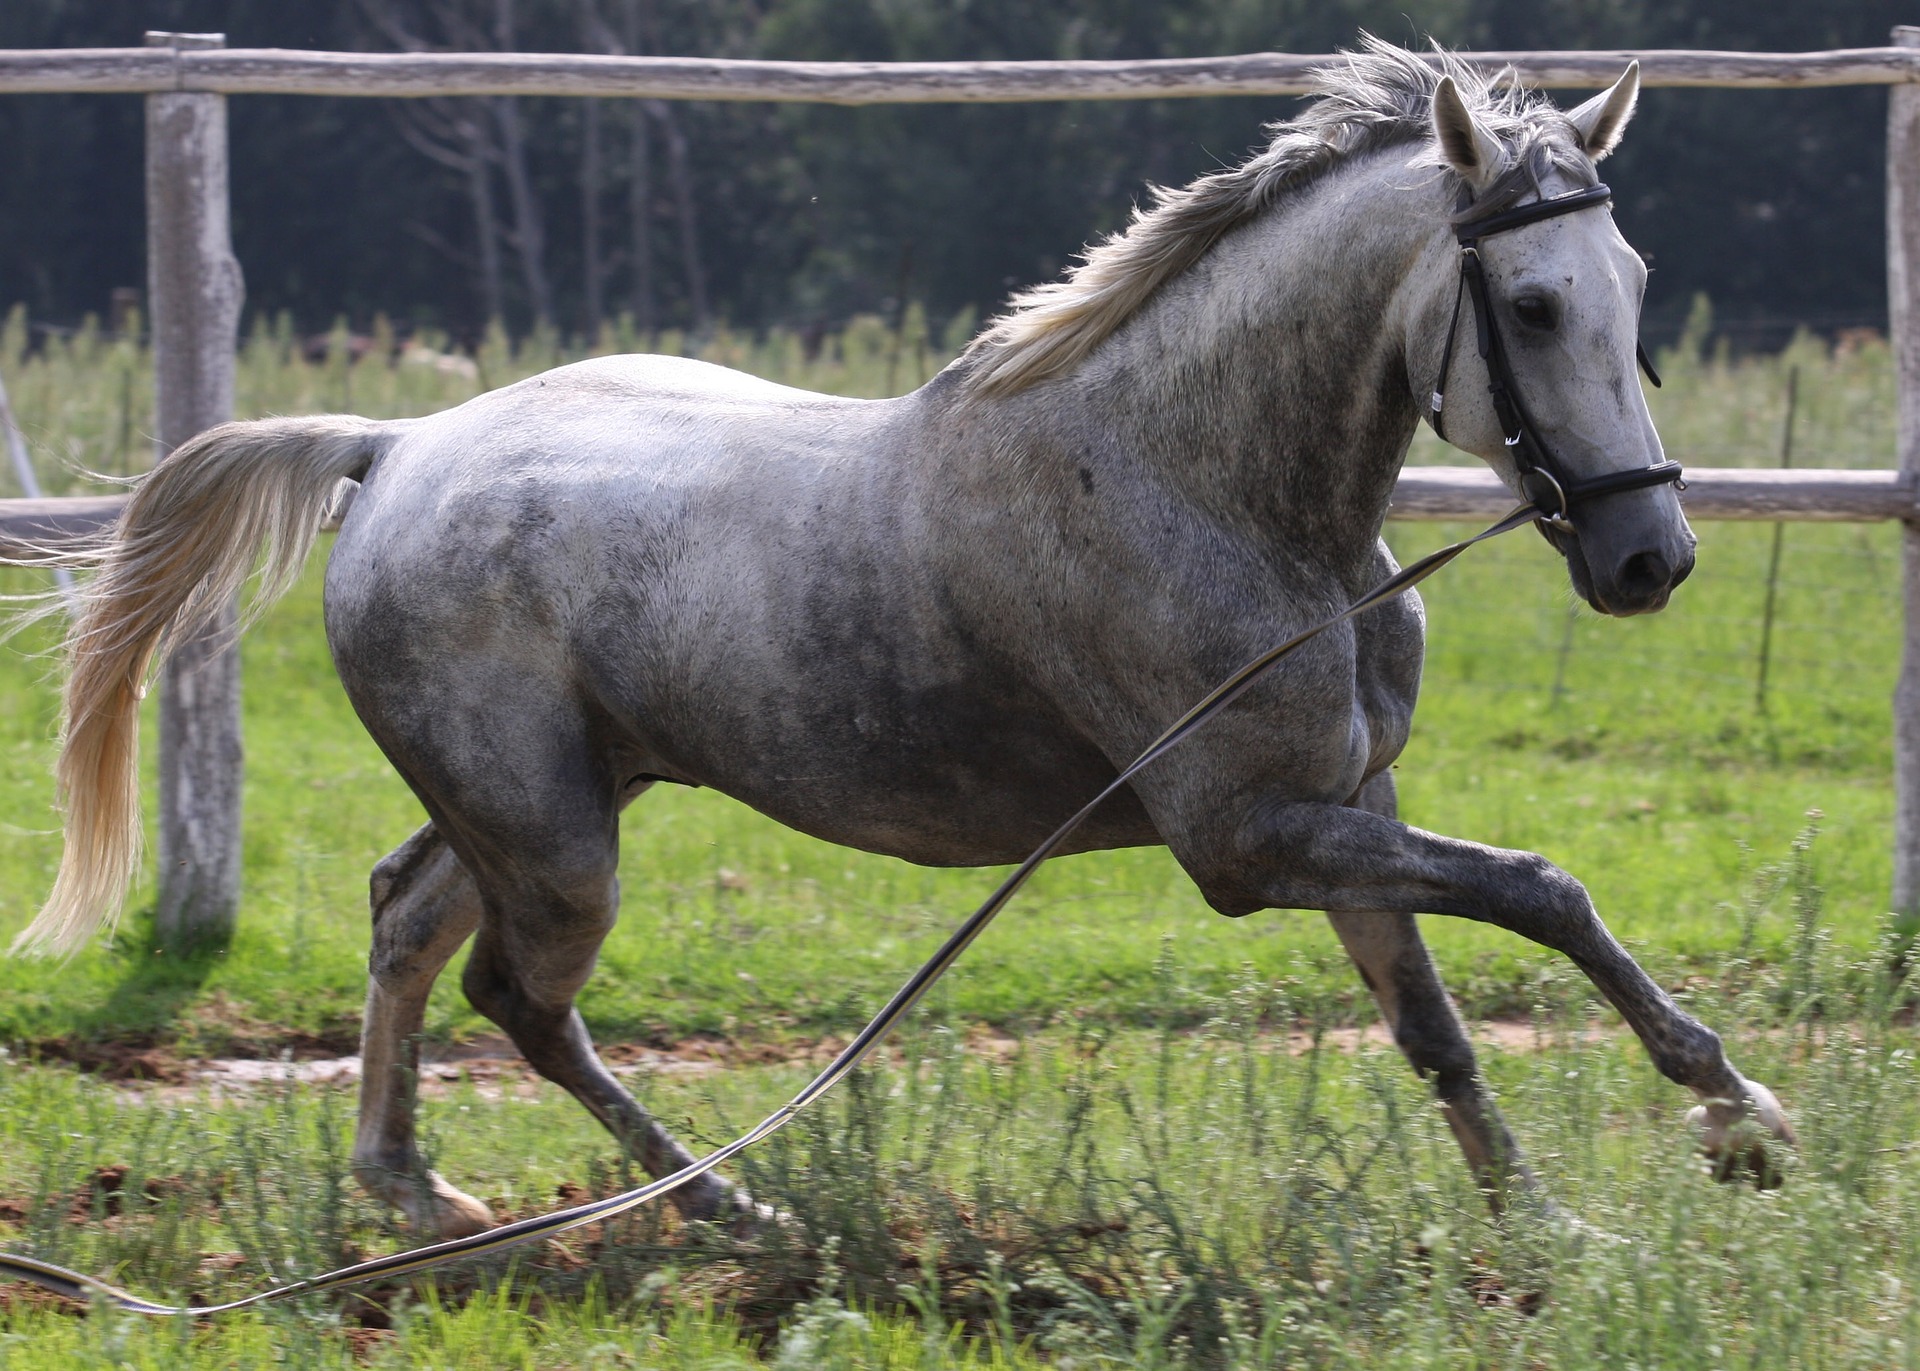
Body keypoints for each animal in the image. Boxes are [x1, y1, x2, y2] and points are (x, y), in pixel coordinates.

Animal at [11, 39, 1791, 1238]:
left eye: (1634, 278)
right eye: (1535, 304)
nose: (1651, 557)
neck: (1214, 487)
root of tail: (391, 451)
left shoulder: (1346, 807)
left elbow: (1435, 1026)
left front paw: (1547, 1228)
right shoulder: (1248, 836)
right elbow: (1543, 888)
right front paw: (1742, 1115)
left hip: (554, 799)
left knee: (403, 916)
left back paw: (419, 1193)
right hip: (561, 841)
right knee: (517, 994)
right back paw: (733, 1215)